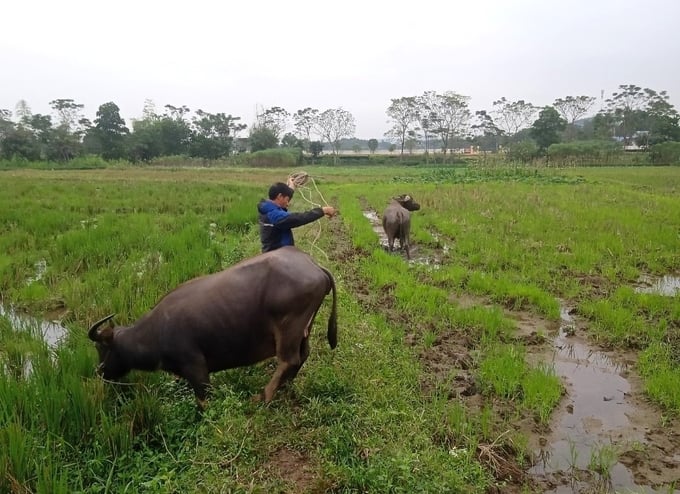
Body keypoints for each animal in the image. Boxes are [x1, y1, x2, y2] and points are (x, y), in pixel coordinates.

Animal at [87, 245, 338, 408]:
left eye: (102, 347)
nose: (99, 371)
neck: (156, 332)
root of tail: (314, 265)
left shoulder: (196, 367)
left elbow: (203, 401)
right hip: (304, 328)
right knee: (302, 355)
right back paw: (283, 387)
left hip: (289, 328)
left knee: (289, 359)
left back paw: (263, 396)